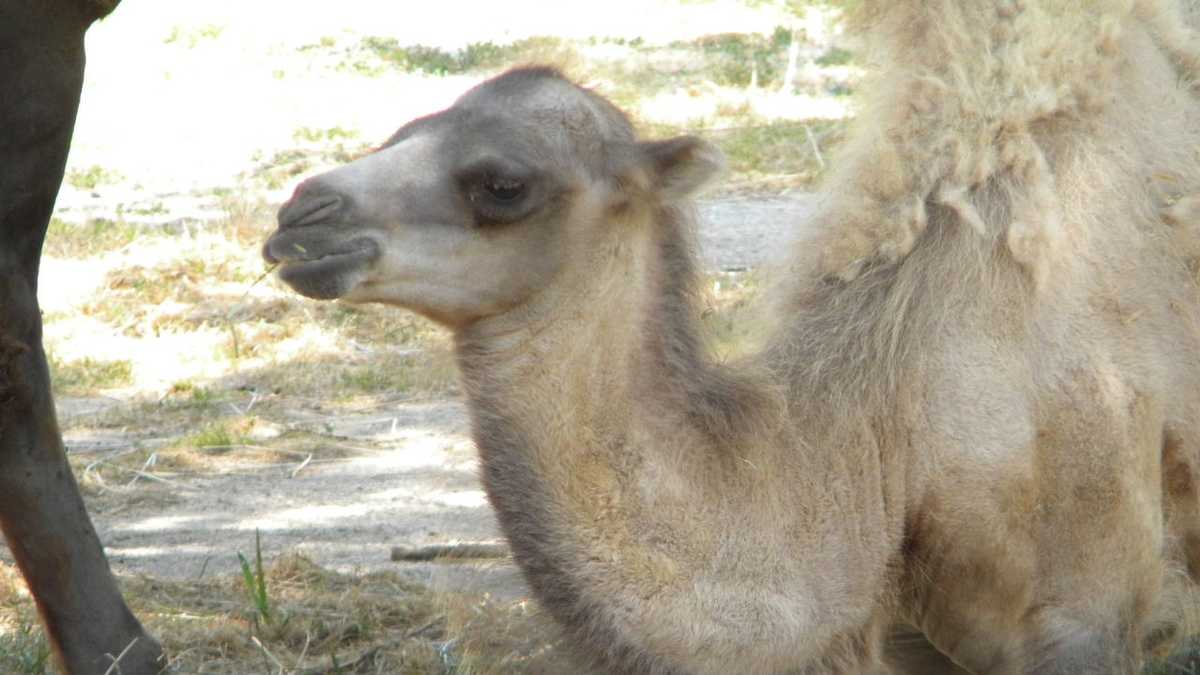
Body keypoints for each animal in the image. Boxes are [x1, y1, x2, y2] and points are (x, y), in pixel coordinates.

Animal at [263, 1, 1200, 673]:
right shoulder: (906, 638)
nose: (299, 216)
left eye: (502, 183)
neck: (888, 433)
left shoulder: (1085, 619)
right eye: (402, 130)